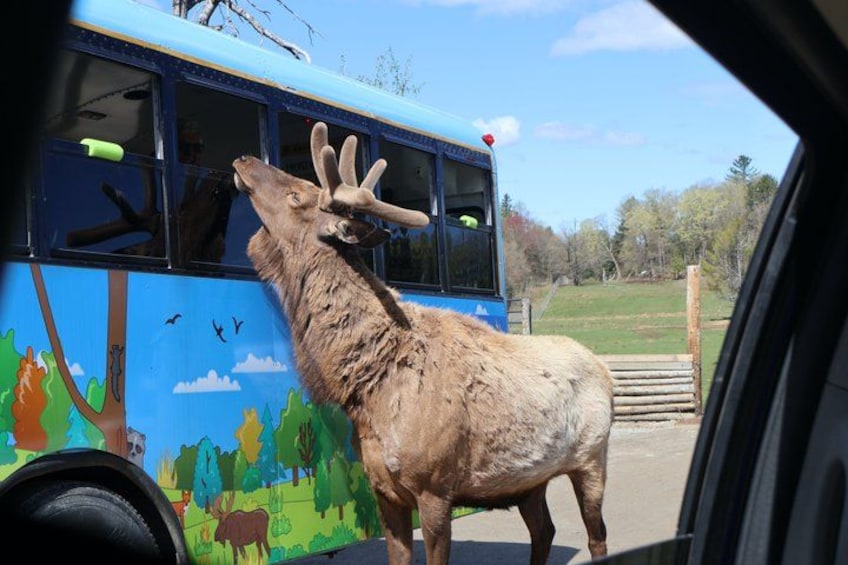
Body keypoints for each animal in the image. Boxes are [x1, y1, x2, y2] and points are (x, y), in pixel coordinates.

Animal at [232, 121, 614, 565]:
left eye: (298, 195)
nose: (243, 159)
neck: (366, 390)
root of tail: (607, 372)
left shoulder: (435, 486)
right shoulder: (384, 491)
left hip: (592, 456)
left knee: (596, 535)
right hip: (529, 479)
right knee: (544, 530)